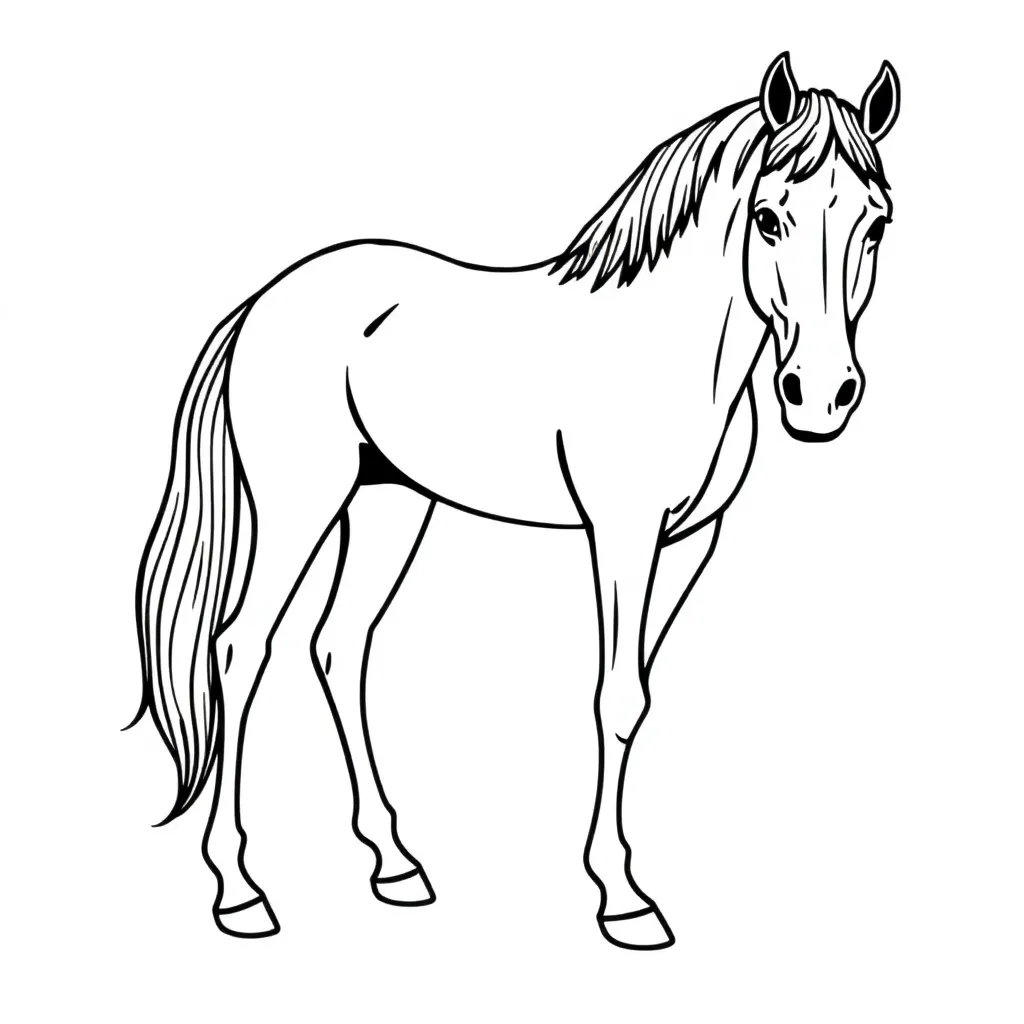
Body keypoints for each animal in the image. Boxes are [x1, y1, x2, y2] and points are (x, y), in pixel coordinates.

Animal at [132, 52, 900, 950]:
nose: (820, 396)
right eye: (769, 218)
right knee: (239, 648)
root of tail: (265, 303)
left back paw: (395, 864)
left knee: (340, 646)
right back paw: (240, 890)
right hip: (300, 506)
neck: (673, 349)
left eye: (876, 225)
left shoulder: (687, 542)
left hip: (390, 505)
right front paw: (622, 899)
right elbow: (616, 698)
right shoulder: (621, 534)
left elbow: (639, 694)